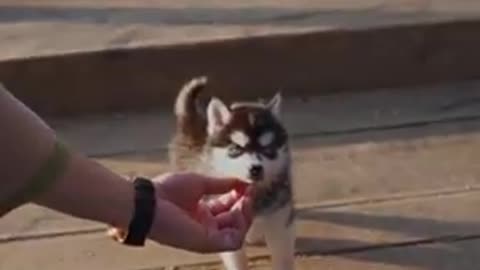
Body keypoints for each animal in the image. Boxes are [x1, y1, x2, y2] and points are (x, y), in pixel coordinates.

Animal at [169, 76, 296, 270]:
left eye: (267, 148)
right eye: (236, 148)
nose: (256, 169)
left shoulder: (279, 221)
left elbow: (282, 255)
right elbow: (236, 258)